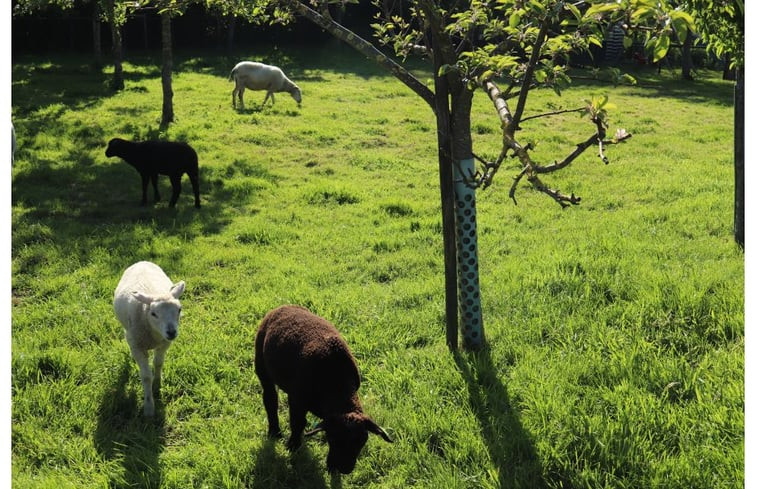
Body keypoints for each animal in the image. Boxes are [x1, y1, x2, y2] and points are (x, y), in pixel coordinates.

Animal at [113, 260, 185, 416]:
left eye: (179, 309)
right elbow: (146, 377)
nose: (171, 332)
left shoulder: (164, 344)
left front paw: (157, 385)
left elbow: (158, 363)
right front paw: (149, 407)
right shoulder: (137, 346)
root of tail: (142, 262)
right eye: (153, 313)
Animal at [255, 304, 392, 472]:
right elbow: (297, 422)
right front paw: (293, 446)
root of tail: (283, 306)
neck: (336, 385)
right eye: (332, 439)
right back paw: (274, 432)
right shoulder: (296, 398)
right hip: (262, 366)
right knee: (270, 399)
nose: (344, 469)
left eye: (361, 441)